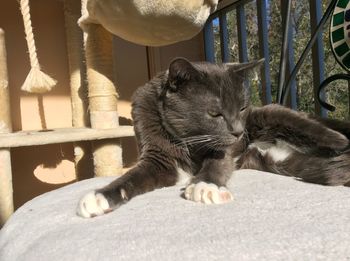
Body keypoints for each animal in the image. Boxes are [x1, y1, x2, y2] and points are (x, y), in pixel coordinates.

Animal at [77, 57, 350, 217]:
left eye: (242, 107)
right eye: (215, 113)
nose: (239, 132)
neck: (186, 142)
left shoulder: (227, 146)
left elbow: (218, 160)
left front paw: (205, 186)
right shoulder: (158, 157)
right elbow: (133, 176)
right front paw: (101, 196)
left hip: (270, 115)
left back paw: (340, 142)